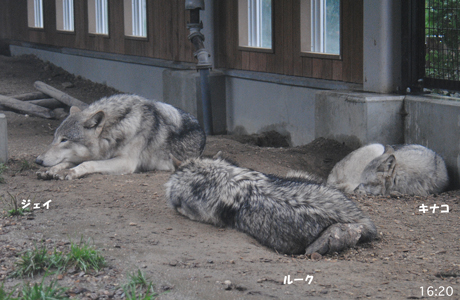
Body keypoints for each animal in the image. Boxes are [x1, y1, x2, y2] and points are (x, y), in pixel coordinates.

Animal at [36, 94, 206, 179]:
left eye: (64, 140)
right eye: (55, 138)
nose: (37, 160)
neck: (116, 126)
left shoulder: (126, 162)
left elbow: (87, 164)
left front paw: (70, 172)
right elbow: (68, 162)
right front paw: (51, 170)